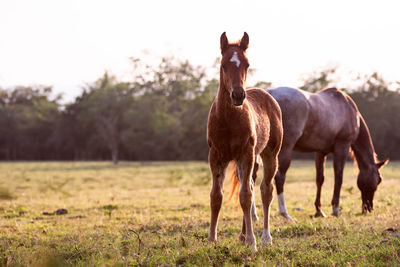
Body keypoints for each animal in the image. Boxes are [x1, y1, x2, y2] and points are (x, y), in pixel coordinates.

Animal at [208, 32, 282, 252]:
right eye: (224, 64)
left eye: (247, 64)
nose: (239, 95)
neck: (228, 119)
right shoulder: (216, 156)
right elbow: (216, 196)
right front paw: (211, 239)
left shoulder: (245, 154)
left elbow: (246, 196)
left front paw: (252, 241)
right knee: (247, 185)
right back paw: (241, 235)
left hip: (269, 155)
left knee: (265, 191)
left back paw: (265, 237)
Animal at [253, 88, 388, 220]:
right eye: (378, 180)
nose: (368, 208)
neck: (349, 109)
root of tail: (269, 94)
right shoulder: (342, 147)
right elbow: (338, 178)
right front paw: (335, 209)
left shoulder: (320, 152)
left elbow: (320, 179)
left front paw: (319, 210)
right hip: (285, 149)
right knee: (279, 176)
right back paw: (284, 213)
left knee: (252, 177)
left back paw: (254, 215)